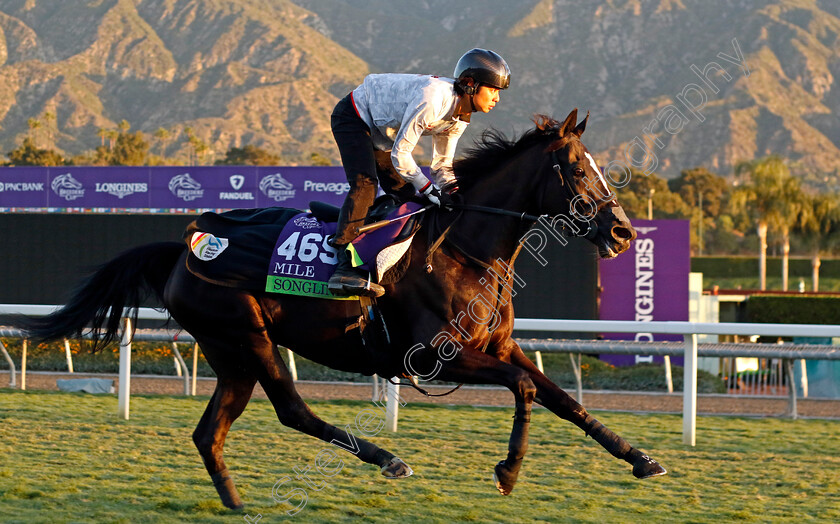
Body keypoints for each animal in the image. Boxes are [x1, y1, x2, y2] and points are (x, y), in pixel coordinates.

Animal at [16, 109, 668, 508]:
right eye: (578, 169)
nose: (621, 232)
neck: (465, 250)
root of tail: (186, 246)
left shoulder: (500, 346)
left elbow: (563, 400)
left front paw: (641, 459)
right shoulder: (435, 354)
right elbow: (527, 389)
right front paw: (508, 472)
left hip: (230, 353)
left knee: (209, 432)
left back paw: (235, 503)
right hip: (247, 336)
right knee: (292, 411)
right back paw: (388, 459)